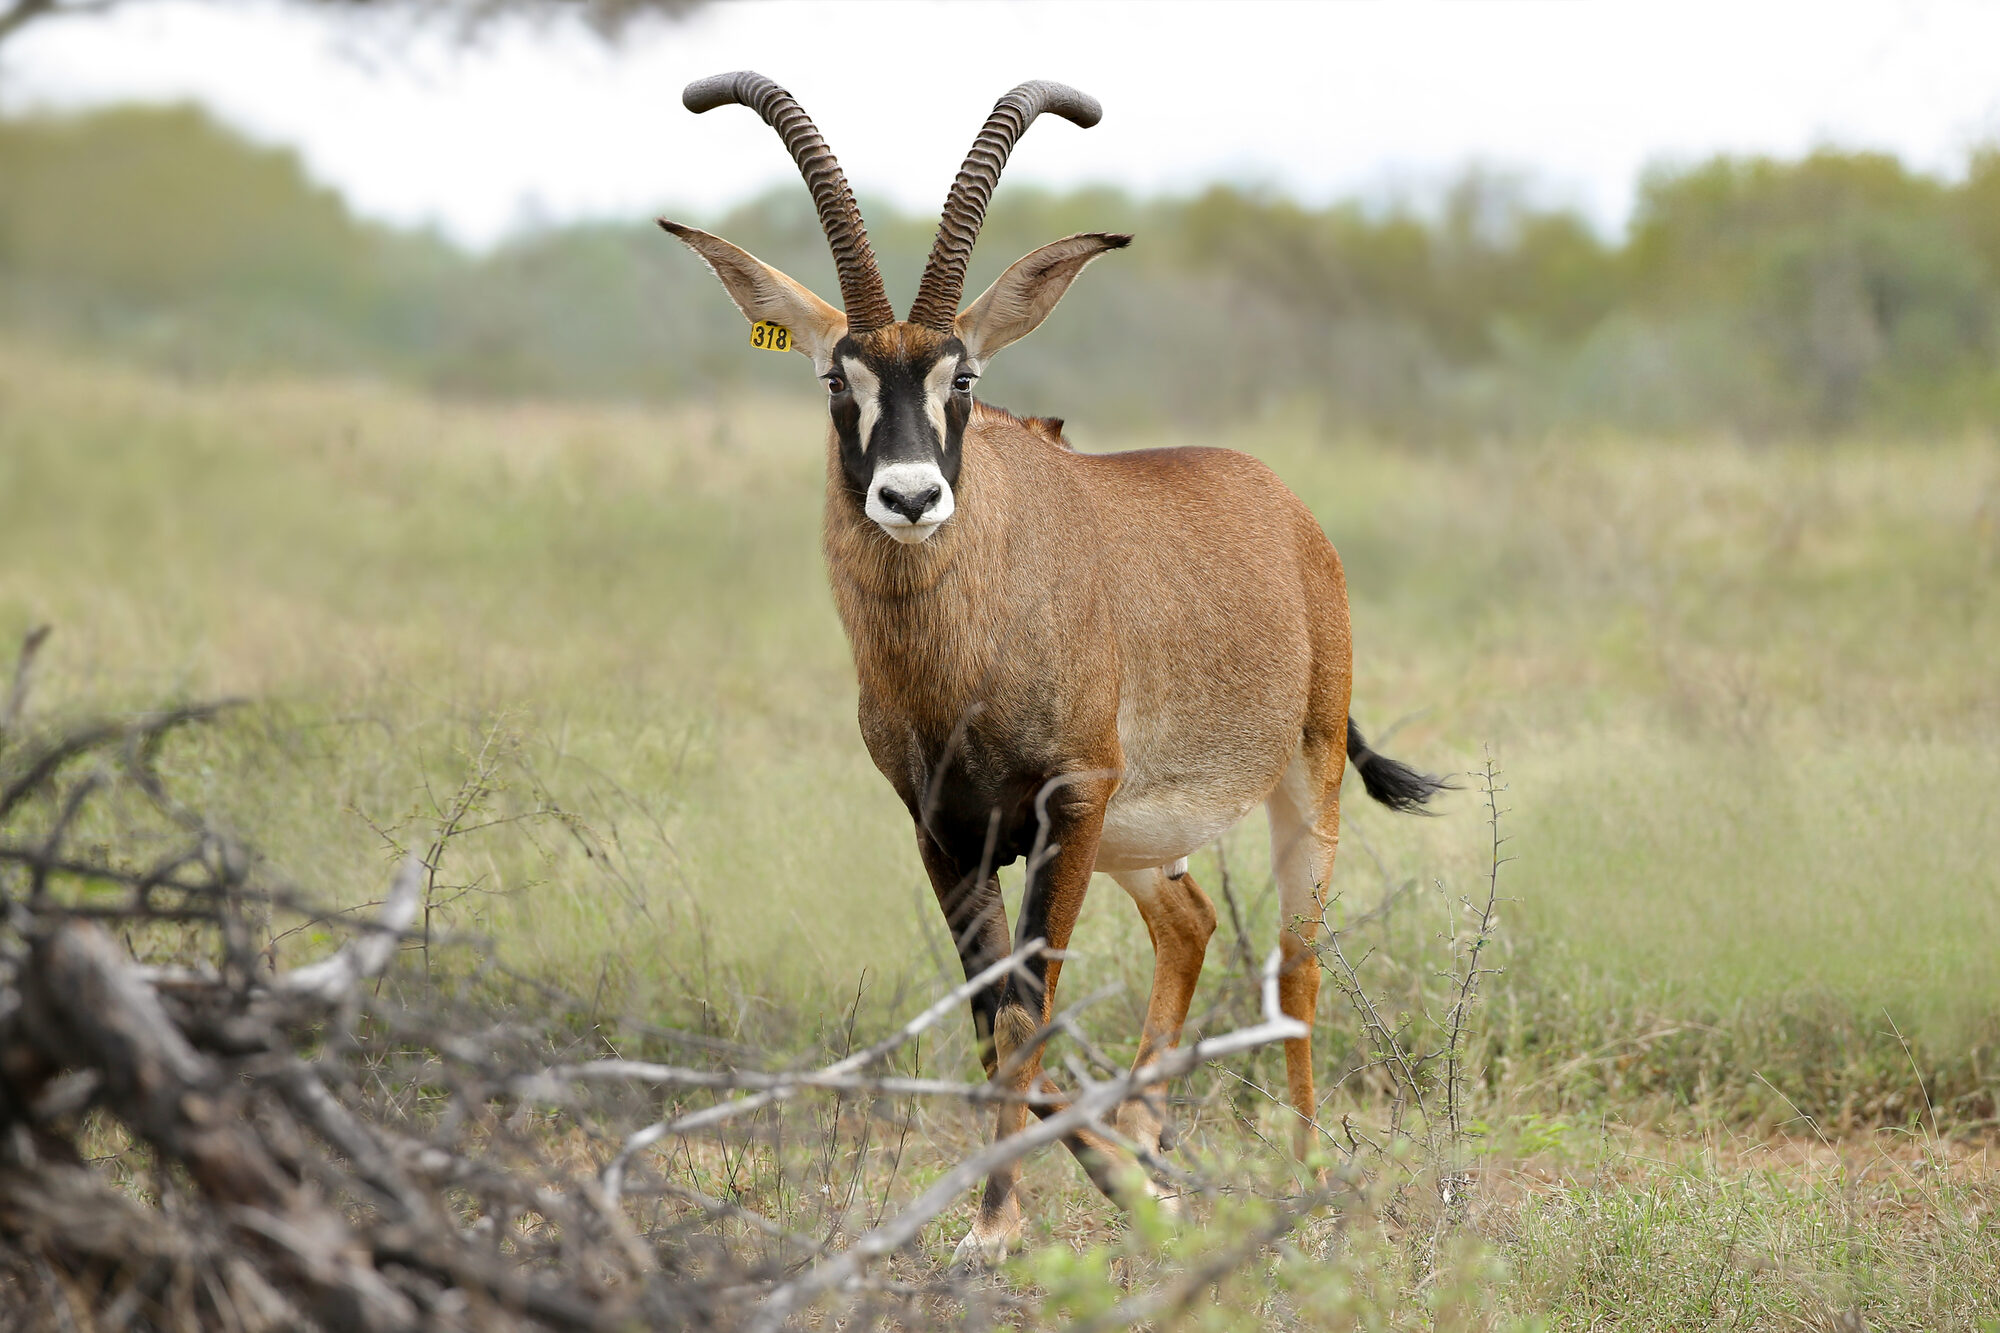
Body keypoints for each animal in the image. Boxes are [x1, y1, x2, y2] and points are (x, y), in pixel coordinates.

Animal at [661, 72, 1448, 1262]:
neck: (957, 662)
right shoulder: (945, 831)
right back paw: (1152, 1146)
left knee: (1293, 961)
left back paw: (1303, 1179)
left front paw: (1016, 1218)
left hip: (1293, 778)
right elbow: (996, 1014)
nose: (909, 497)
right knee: (1189, 922)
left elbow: (1030, 1007)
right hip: (1135, 833)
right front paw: (1072, 1197)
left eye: (964, 375)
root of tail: (1283, 505)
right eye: (837, 375)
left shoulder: (1066, 801)